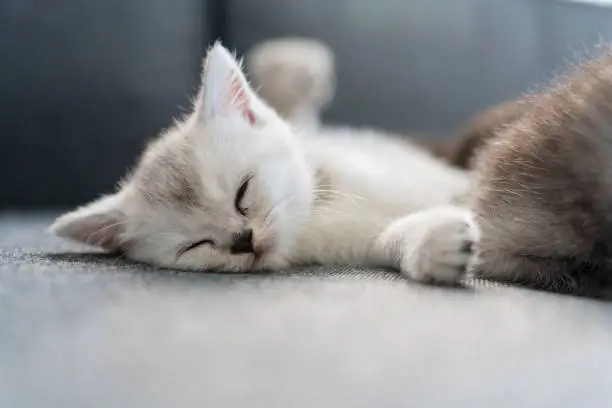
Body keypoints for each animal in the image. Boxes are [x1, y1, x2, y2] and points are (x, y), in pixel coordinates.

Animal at [49, 41, 478, 284]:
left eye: (243, 193)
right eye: (197, 245)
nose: (244, 241)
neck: (322, 208)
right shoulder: (353, 243)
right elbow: (391, 237)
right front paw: (435, 245)